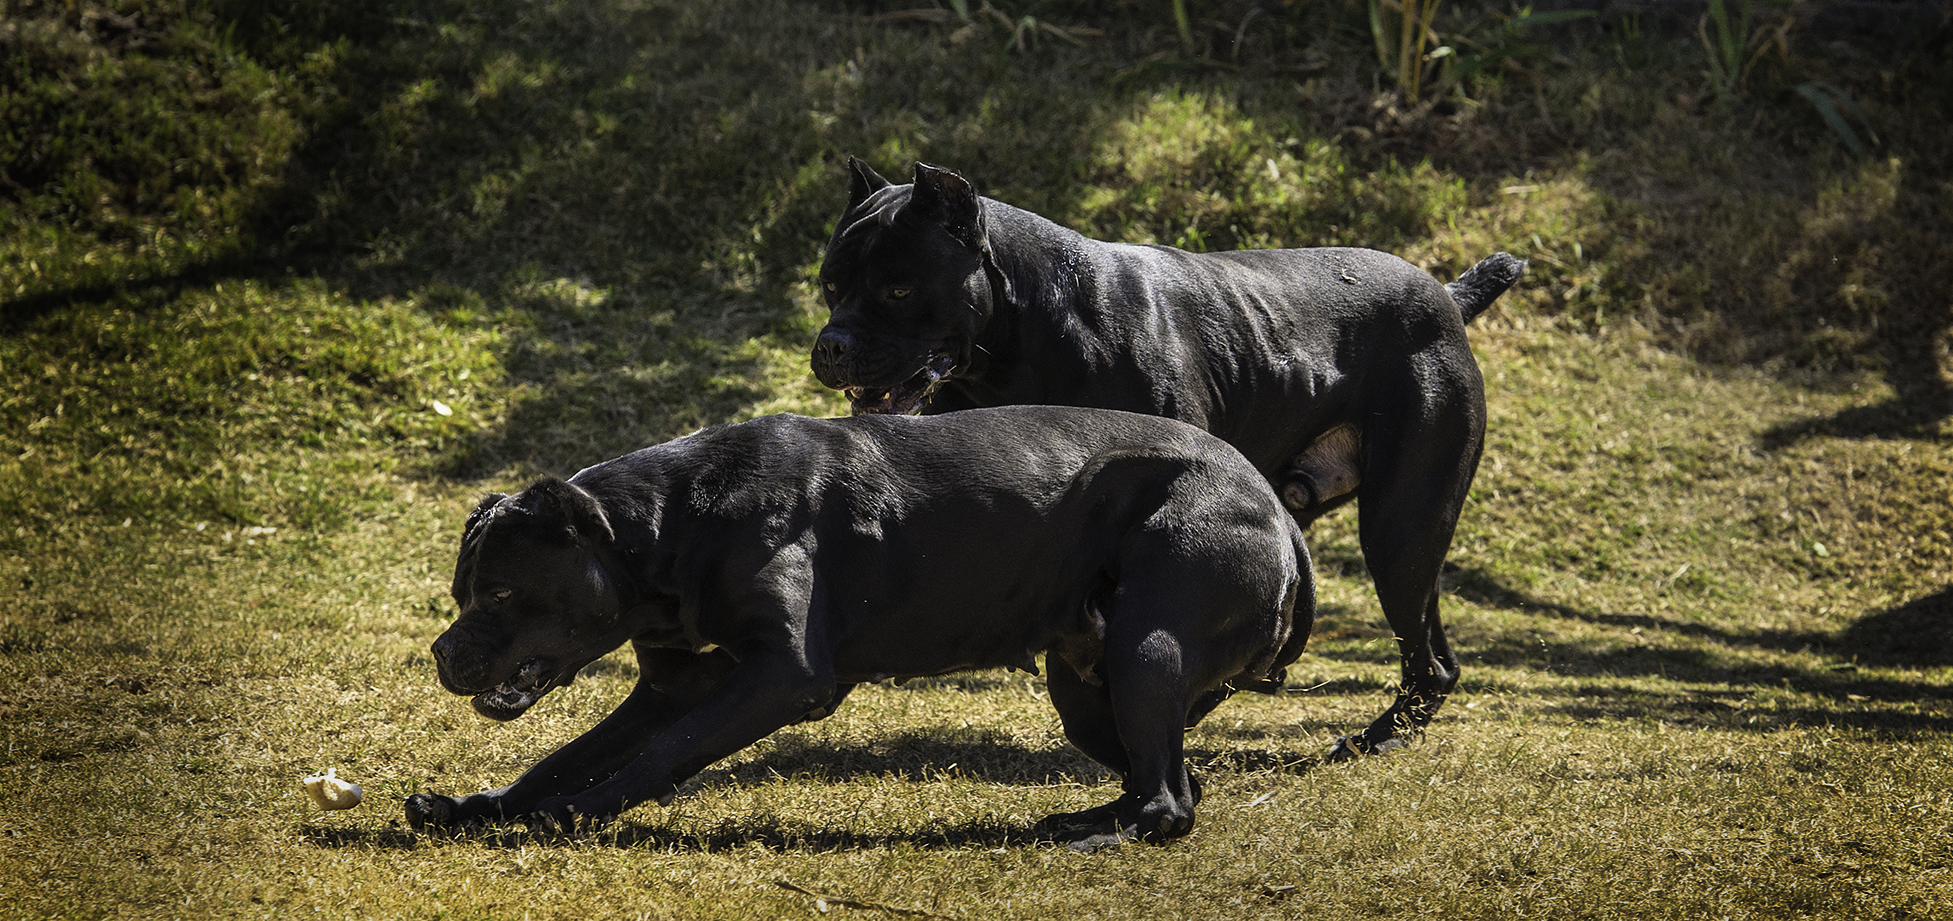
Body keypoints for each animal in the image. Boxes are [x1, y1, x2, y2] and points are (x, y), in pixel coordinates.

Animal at [406, 405, 1312, 846]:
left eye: (498, 593)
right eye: (459, 591)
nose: (442, 651)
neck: (667, 528)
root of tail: (1272, 504)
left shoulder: (781, 677)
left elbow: (658, 756)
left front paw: (579, 813)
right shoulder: (670, 686)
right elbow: (564, 755)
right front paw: (477, 805)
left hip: (1144, 650)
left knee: (1169, 803)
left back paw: (1091, 839)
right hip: (1088, 689)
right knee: (1167, 783)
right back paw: (1083, 821)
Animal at [808, 160, 1523, 760]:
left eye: (899, 290)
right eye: (830, 286)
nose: (832, 345)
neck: (1021, 340)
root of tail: (1445, 296)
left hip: (1402, 525)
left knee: (1423, 655)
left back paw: (1371, 739)